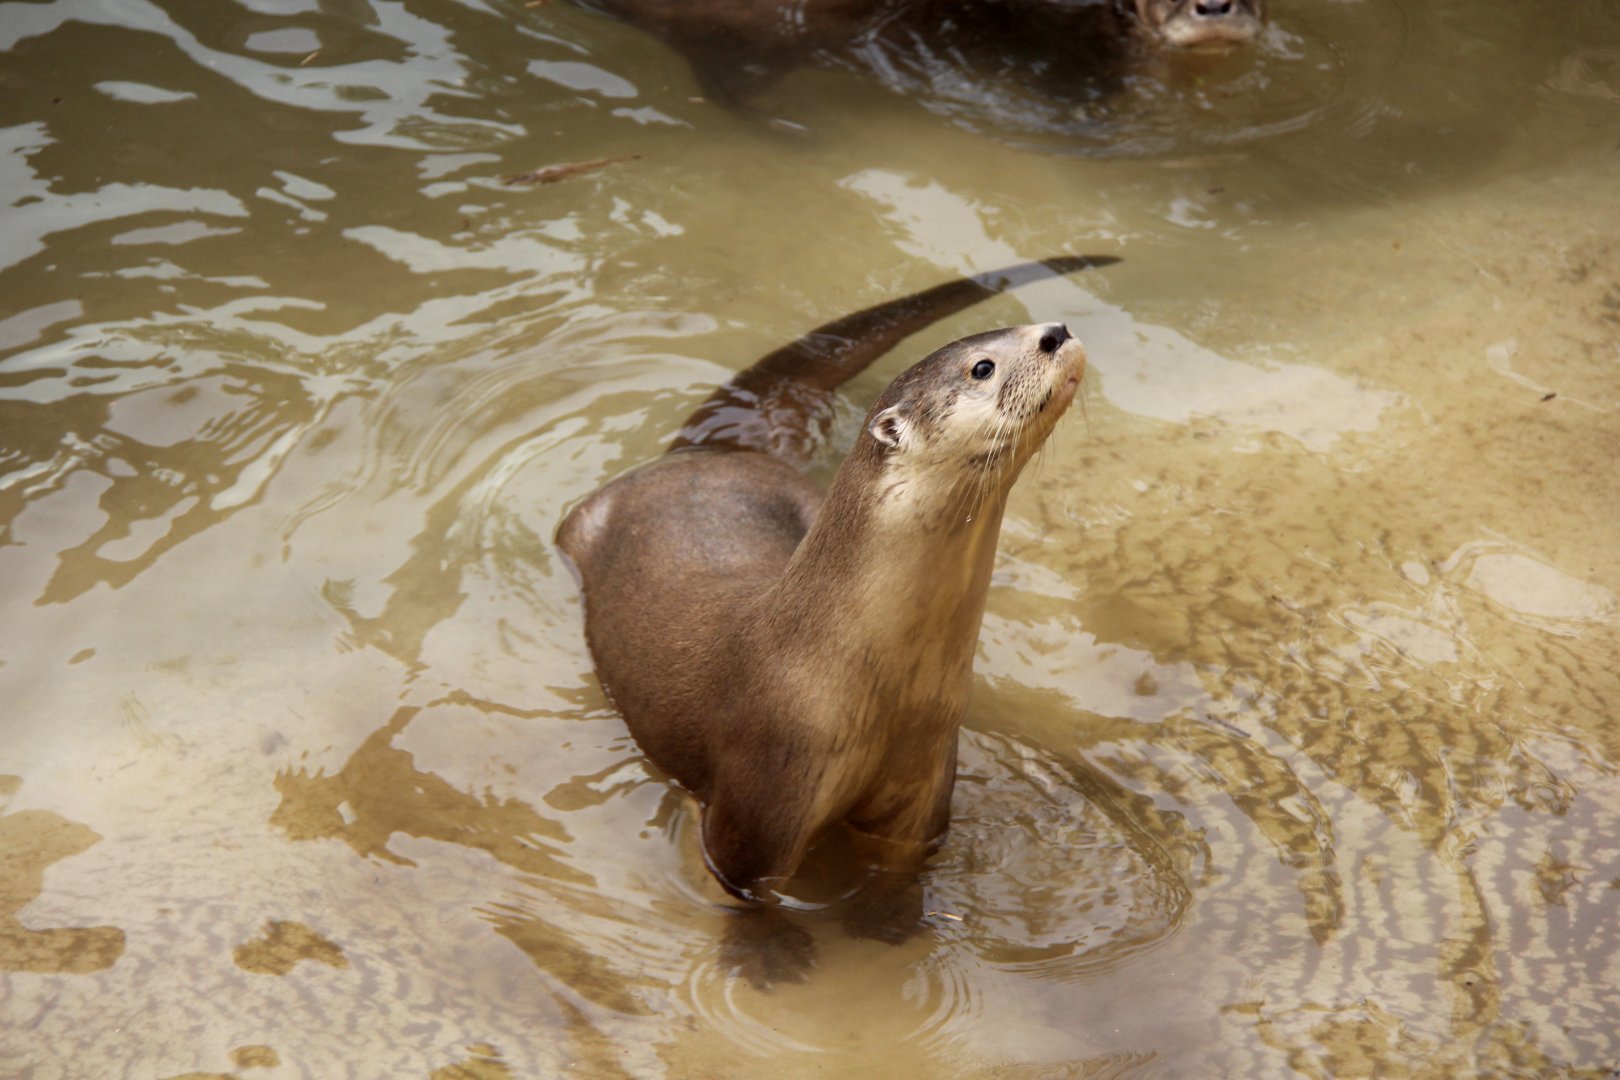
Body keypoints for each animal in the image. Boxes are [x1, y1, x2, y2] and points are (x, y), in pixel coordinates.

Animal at [556, 255, 1114, 917]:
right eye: (983, 366)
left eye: (1014, 332)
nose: (1055, 331)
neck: (875, 685)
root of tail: (710, 449)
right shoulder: (759, 803)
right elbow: (751, 897)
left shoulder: (925, 782)